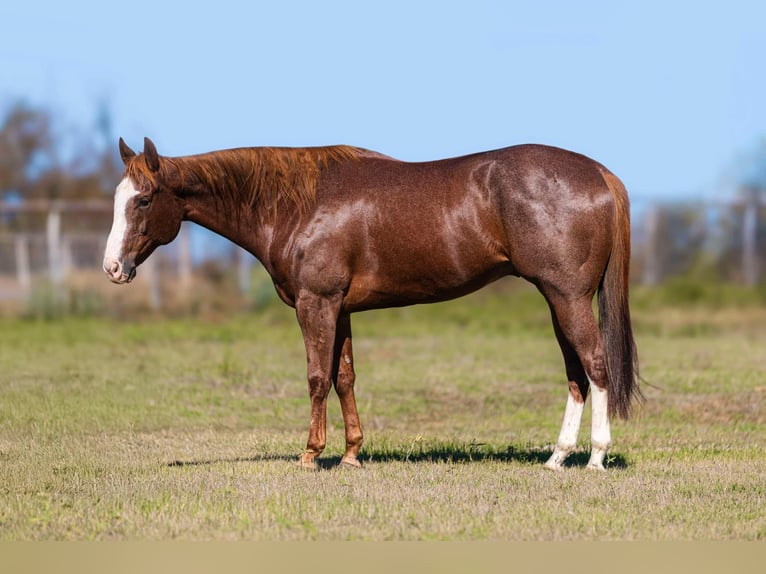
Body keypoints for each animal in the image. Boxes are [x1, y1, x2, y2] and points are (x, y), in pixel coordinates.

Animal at [103, 137, 640, 471]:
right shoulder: (339, 310)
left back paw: (595, 457)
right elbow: (344, 378)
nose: (113, 267)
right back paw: (557, 457)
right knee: (576, 373)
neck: (296, 204)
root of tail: (598, 173)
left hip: (567, 298)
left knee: (596, 366)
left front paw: (310, 454)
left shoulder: (316, 304)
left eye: (144, 200)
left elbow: (316, 377)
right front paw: (351, 454)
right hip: (558, 300)